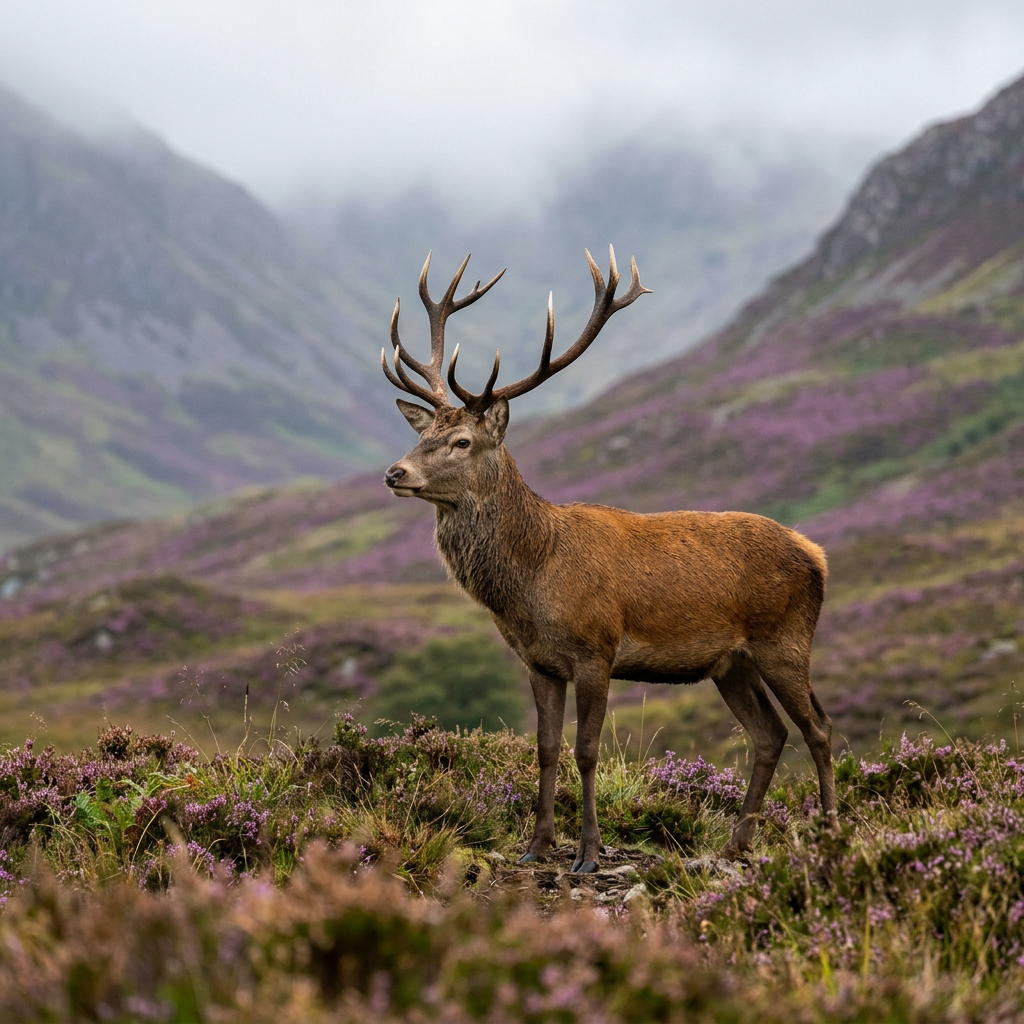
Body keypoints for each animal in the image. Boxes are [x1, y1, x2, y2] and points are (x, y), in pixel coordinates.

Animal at [381, 247, 836, 872]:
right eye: (424, 435)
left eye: (461, 443)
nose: (395, 472)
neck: (531, 583)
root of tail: (817, 555)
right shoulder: (540, 661)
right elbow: (546, 748)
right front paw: (537, 846)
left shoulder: (596, 650)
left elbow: (588, 750)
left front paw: (589, 852)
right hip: (732, 663)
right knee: (770, 734)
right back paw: (737, 842)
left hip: (784, 641)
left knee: (819, 727)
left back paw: (834, 829)